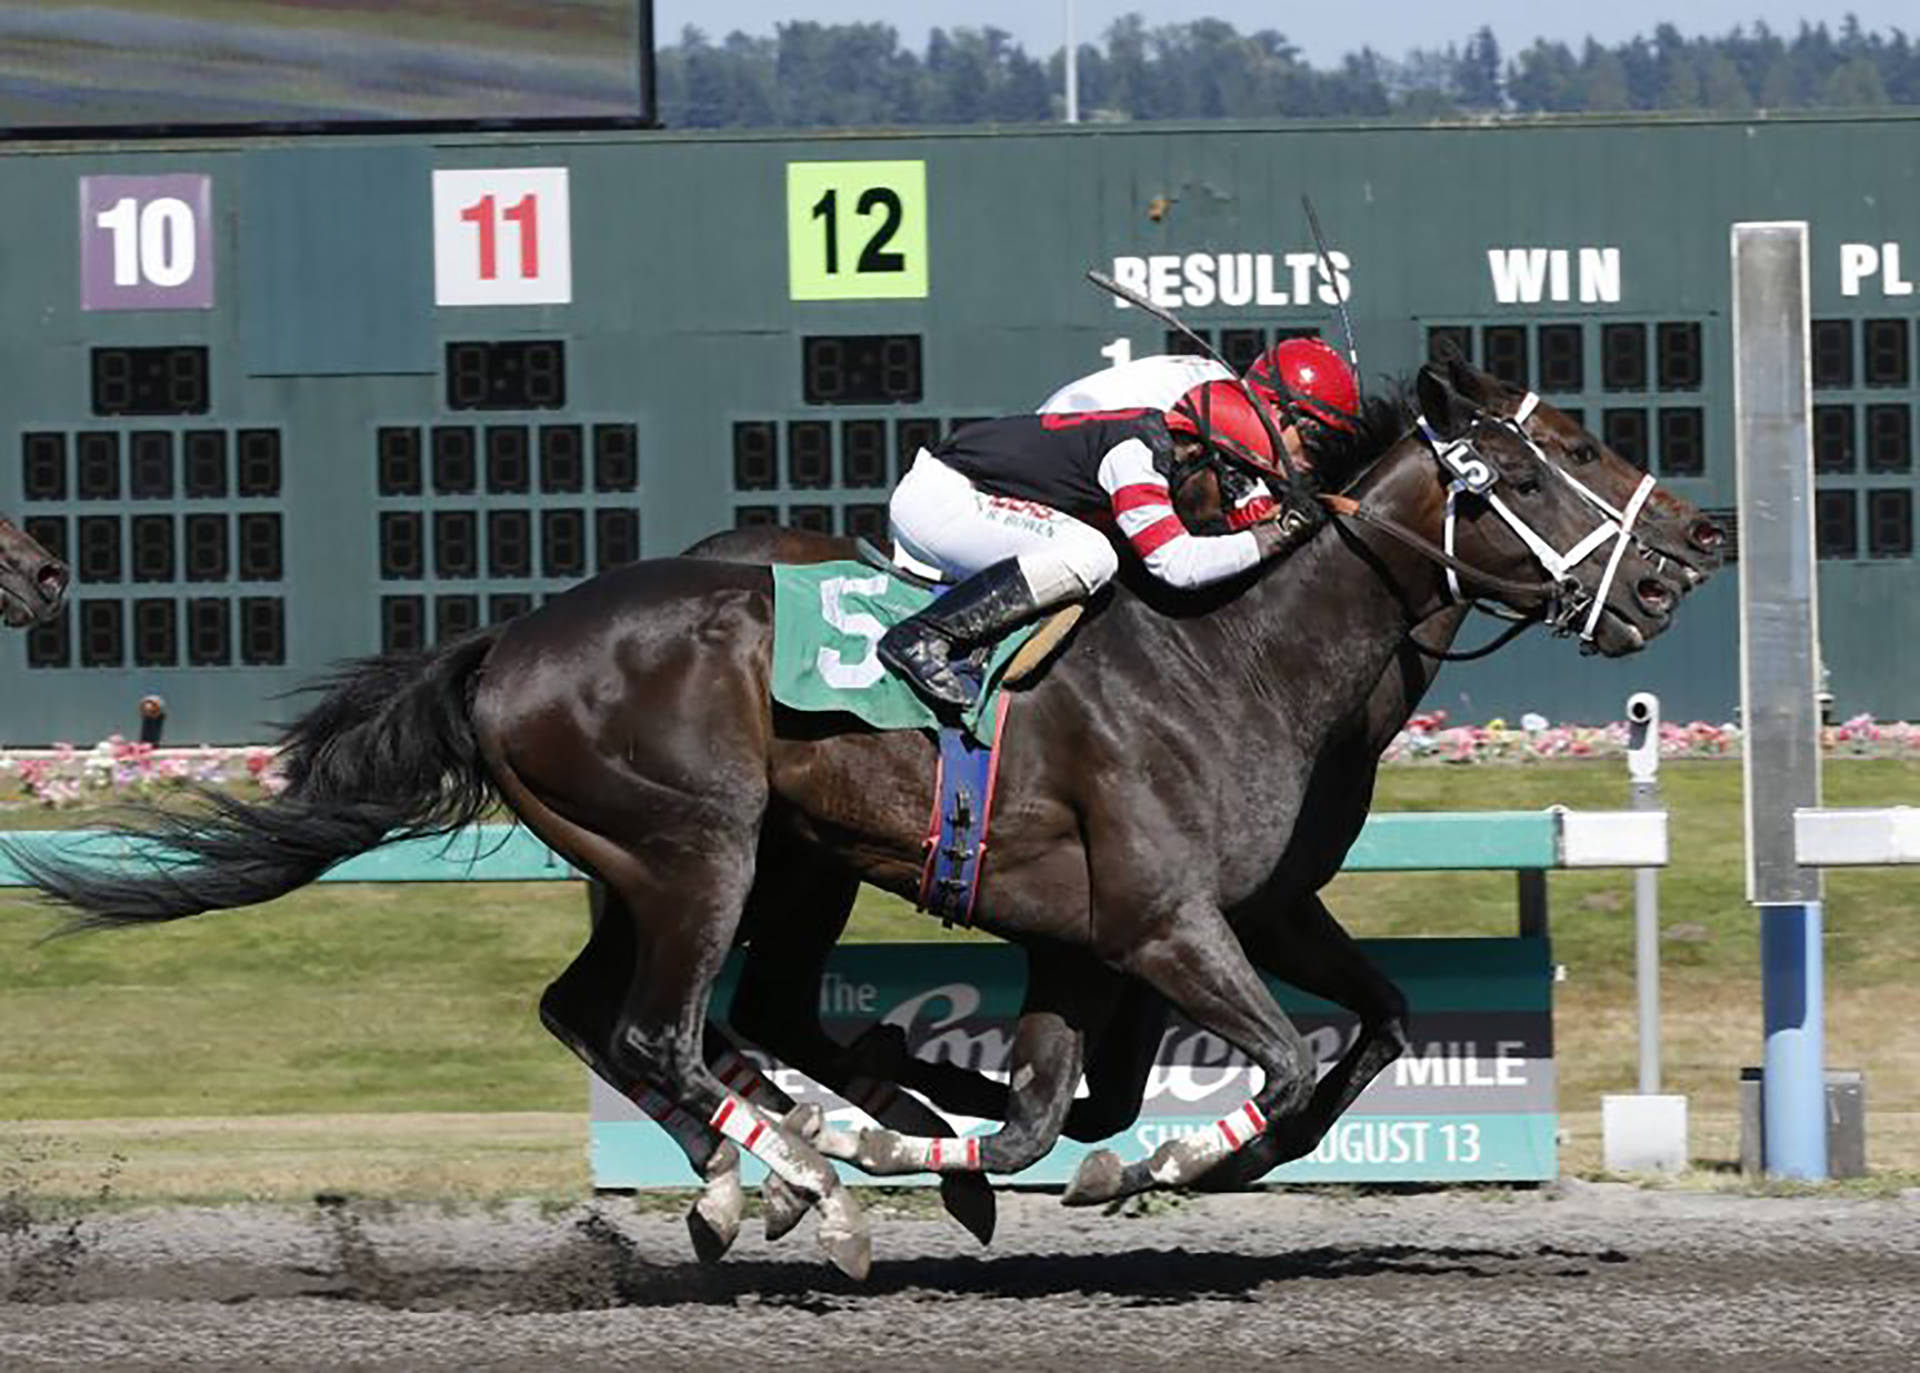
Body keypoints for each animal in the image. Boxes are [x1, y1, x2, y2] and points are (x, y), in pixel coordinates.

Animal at [7, 357, 1720, 1275]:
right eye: (1553, 462)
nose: (1690, 549)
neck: (1237, 652)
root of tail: (512, 638)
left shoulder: (1189, 920)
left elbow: (1275, 1057)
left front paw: (993, 1142)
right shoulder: (1166, 920)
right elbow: (1273, 1065)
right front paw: (1130, 1161)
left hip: (717, 865)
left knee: (622, 1015)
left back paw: (794, 1153)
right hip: (704, 848)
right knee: (661, 1030)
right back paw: (809, 1182)